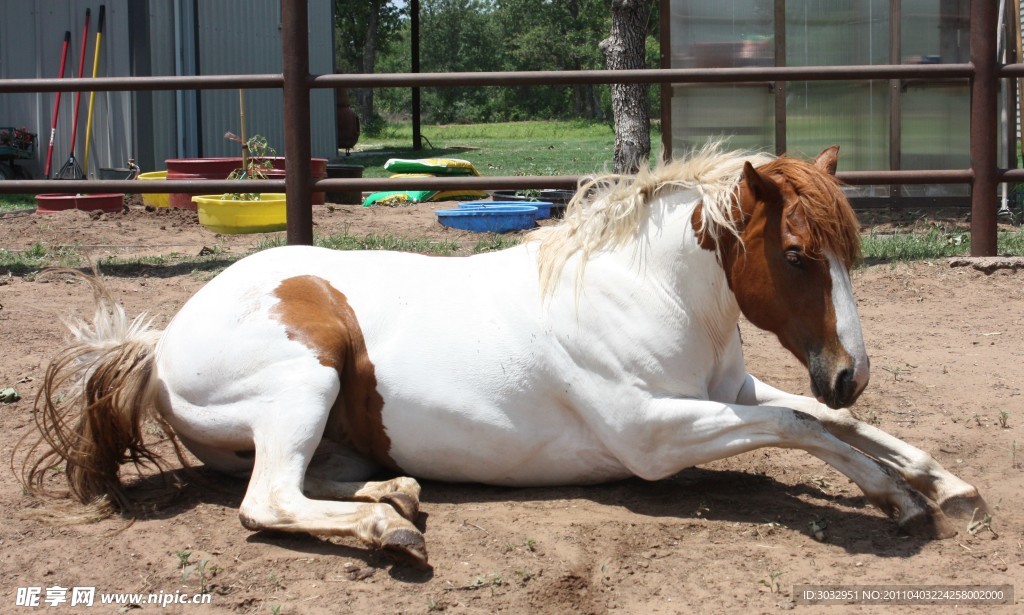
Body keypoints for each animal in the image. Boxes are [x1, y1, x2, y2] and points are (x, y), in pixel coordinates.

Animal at [24, 145, 983, 564]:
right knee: (267, 501)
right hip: (307, 372)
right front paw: (901, 500)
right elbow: (805, 425)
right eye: (794, 254)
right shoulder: (656, 434)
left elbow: (821, 416)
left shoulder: (734, 387)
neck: (646, 293)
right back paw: (388, 530)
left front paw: (947, 484)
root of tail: (158, 343)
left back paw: (397, 493)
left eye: (848, 250)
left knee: (313, 478)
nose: (853, 368)